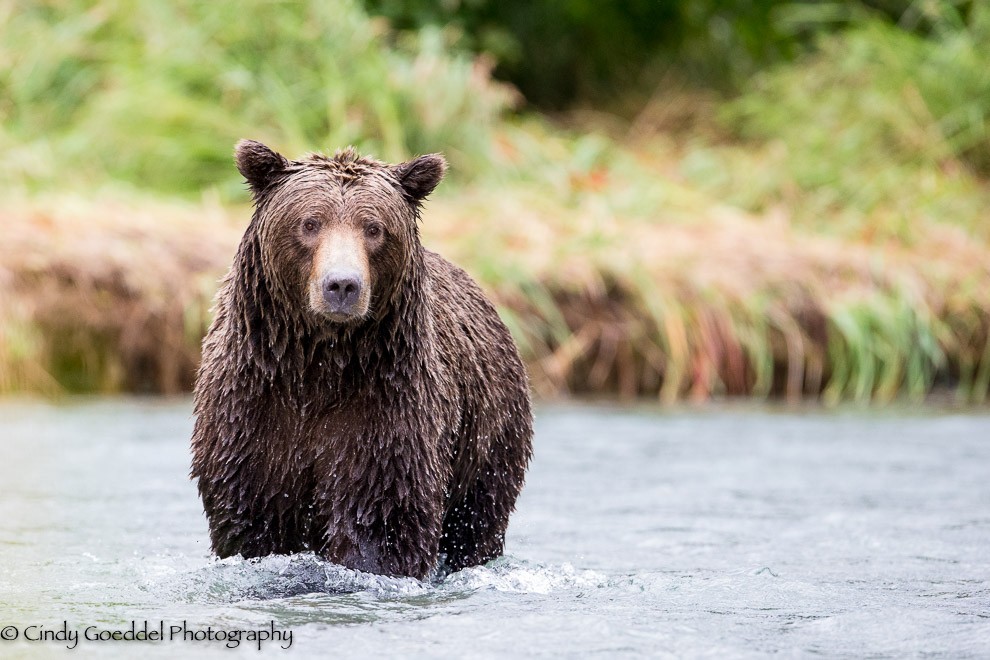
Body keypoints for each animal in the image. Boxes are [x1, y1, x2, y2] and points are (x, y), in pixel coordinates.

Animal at [191, 138, 540, 576]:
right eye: (310, 223)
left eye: (373, 228)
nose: (342, 285)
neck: (319, 361)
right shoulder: (250, 413)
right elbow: (251, 517)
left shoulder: (386, 412)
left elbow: (380, 517)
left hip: (489, 438)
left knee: (476, 521)